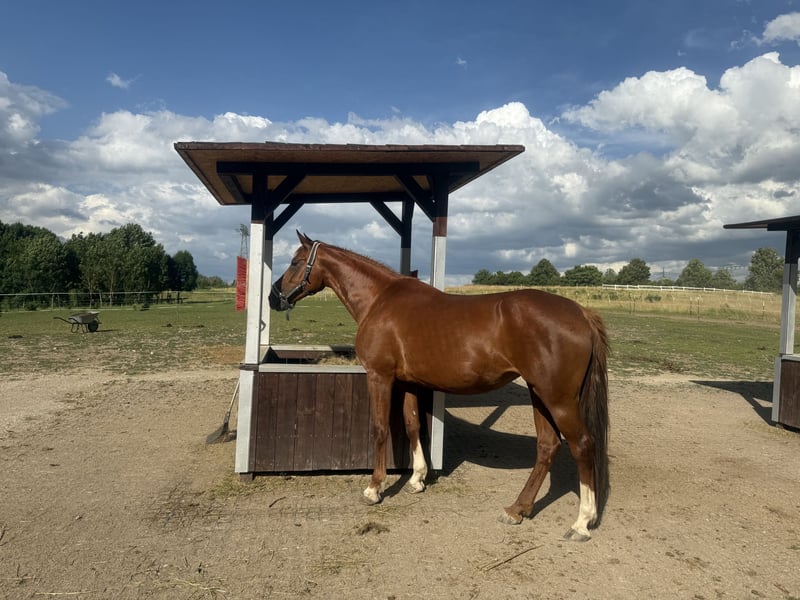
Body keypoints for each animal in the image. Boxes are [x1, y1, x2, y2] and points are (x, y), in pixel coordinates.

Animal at [269, 231, 610, 541]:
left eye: (295, 261)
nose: (274, 297)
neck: (380, 300)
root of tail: (581, 313)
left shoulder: (380, 377)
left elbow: (380, 428)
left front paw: (374, 488)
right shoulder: (408, 383)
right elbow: (413, 425)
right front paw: (417, 479)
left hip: (558, 399)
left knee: (583, 445)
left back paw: (582, 522)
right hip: (539, 394)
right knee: (548, 446)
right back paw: (517, 509)